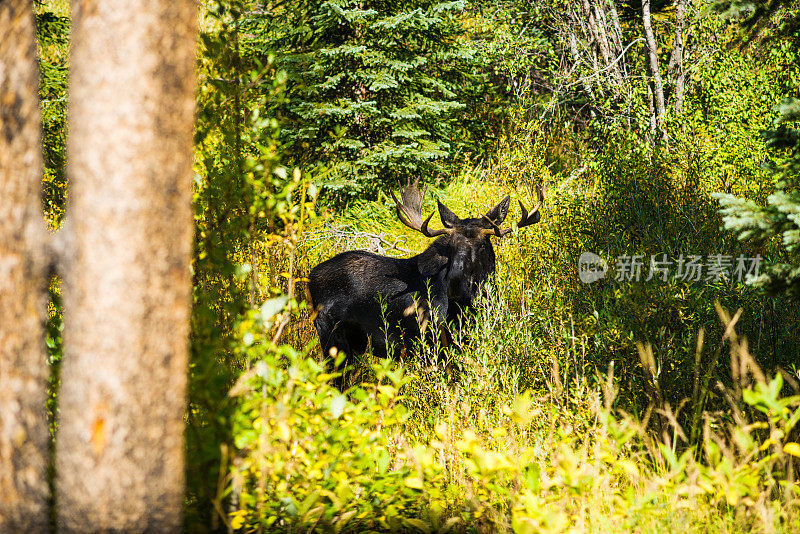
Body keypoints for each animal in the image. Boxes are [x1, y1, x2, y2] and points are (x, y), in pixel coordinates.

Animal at [306, 180, 544, 382]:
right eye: (451, 246)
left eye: (482, 245)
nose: (455, 283)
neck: (468, 305)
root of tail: (310, 277)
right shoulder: (434, 341)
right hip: (331, 338)